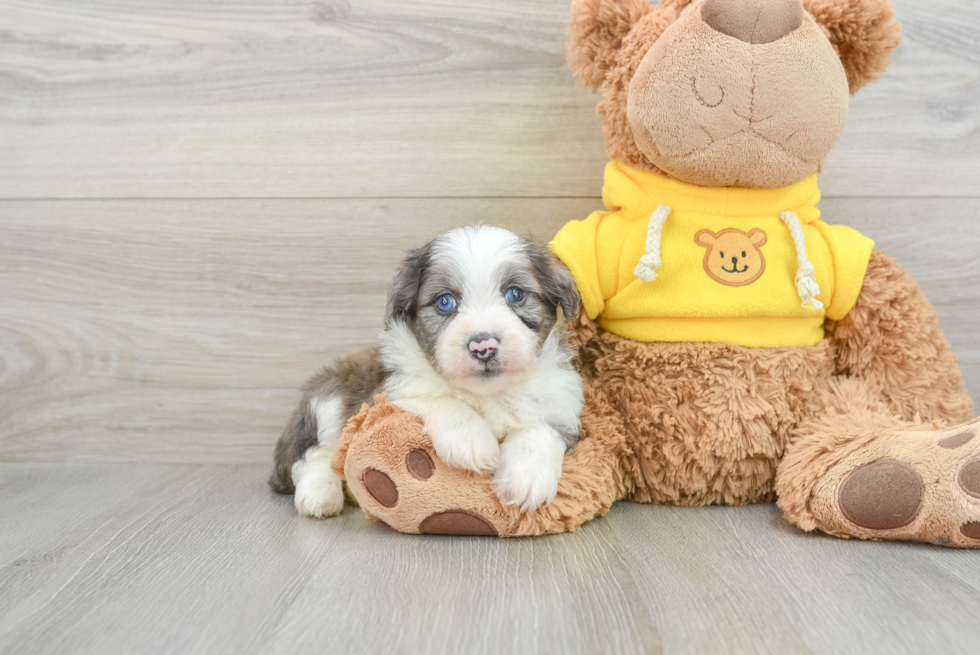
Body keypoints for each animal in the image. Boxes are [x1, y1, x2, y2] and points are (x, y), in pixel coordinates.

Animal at [270, 228, 580, 520]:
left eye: (515, 294)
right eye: (445, 302)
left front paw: (526, 476)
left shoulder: (561, 403)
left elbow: (540, 428)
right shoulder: (384, 395)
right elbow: (434, 396)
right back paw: (320, 494)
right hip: (328, 399)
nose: (483, 346)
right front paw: (470, 438)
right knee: (312, 455)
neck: (487, 394)